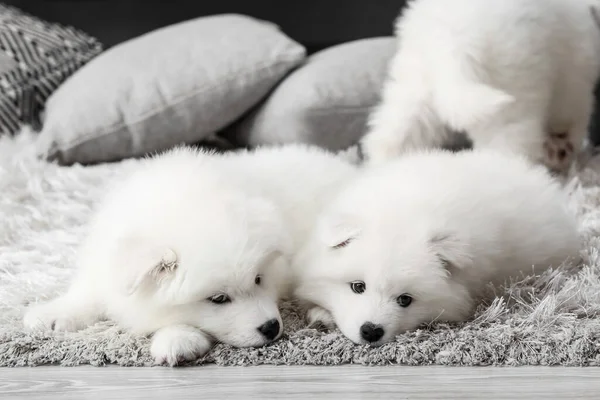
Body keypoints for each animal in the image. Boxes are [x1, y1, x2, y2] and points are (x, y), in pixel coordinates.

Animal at [23, 145, 356, 366]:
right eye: (218, 299)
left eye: (258, 279)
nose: (271, 327)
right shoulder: (106, 260)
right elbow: (87, 291)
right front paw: (51, 315)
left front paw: (177, 340)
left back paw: (322, 315)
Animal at [358, 0, 600, 175]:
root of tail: (454, 42)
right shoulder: (574, 83)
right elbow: (573, 120)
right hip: (511, 101)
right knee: (507, 152)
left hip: (412, 89)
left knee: (389, 138)